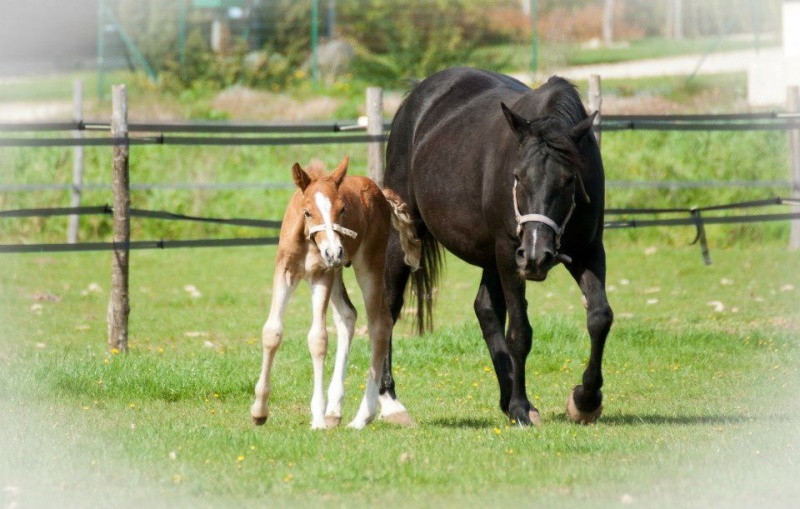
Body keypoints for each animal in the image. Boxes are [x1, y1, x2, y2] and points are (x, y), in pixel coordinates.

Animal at [380, 66, 612, 424]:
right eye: (517, 176)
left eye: (569, 180)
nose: (536, 256)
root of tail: (417, 97)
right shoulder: (509, 253)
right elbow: (520, 332)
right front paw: (521, 406)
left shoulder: (589, 251)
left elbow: (599, 317)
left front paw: (585, 400)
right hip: (408, 232)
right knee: (389, 307)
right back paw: (390, 402)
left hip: (492, 255)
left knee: (486, 310)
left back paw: (508, 400)